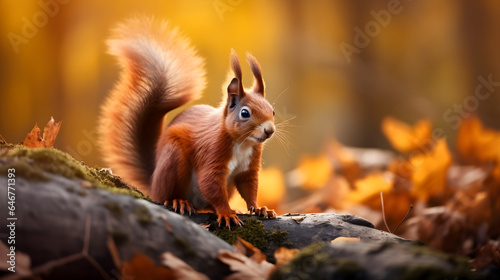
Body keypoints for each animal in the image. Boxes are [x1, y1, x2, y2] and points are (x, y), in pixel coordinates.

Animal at [99, 17, 276, 226]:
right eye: (245, 113)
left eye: (273, 111)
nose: (269, 130)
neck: (243, 143)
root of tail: (153, 181)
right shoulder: (212, 151)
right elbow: (210, 184)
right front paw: (226, 213)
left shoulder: (249, 167)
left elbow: (250, 188)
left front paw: (259, 208)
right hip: (173, 158)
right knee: (167, 195)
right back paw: (178, 201)